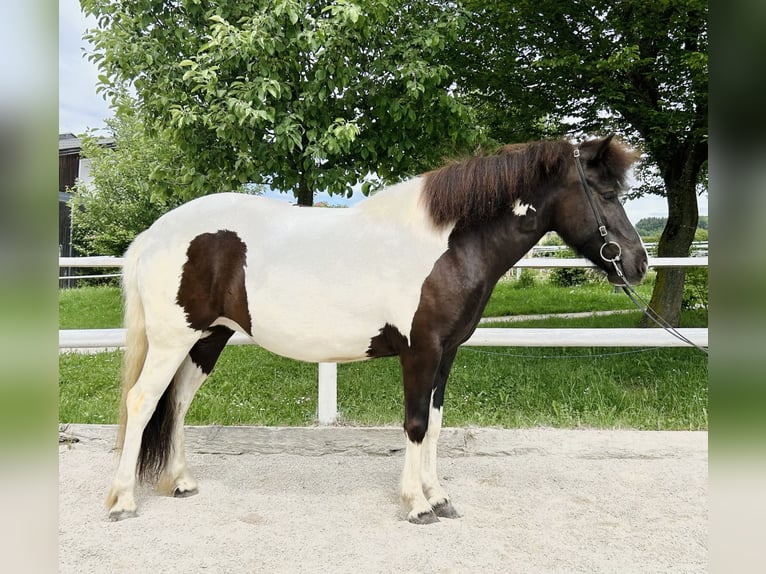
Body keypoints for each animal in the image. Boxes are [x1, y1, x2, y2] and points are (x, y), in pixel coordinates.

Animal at [106, 136, 648, 528]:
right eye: (606, 194)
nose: (638, 264)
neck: (448, 246)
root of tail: (154, 233)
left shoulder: (446, 354)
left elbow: (436, 423)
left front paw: (439, 496)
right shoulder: (420, 352)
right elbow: (415, 424)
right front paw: (417, 505)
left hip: (207, 340)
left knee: (176, 403)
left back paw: (180, 481)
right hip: (174, 341)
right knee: (142, 402)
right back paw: (124, 501)